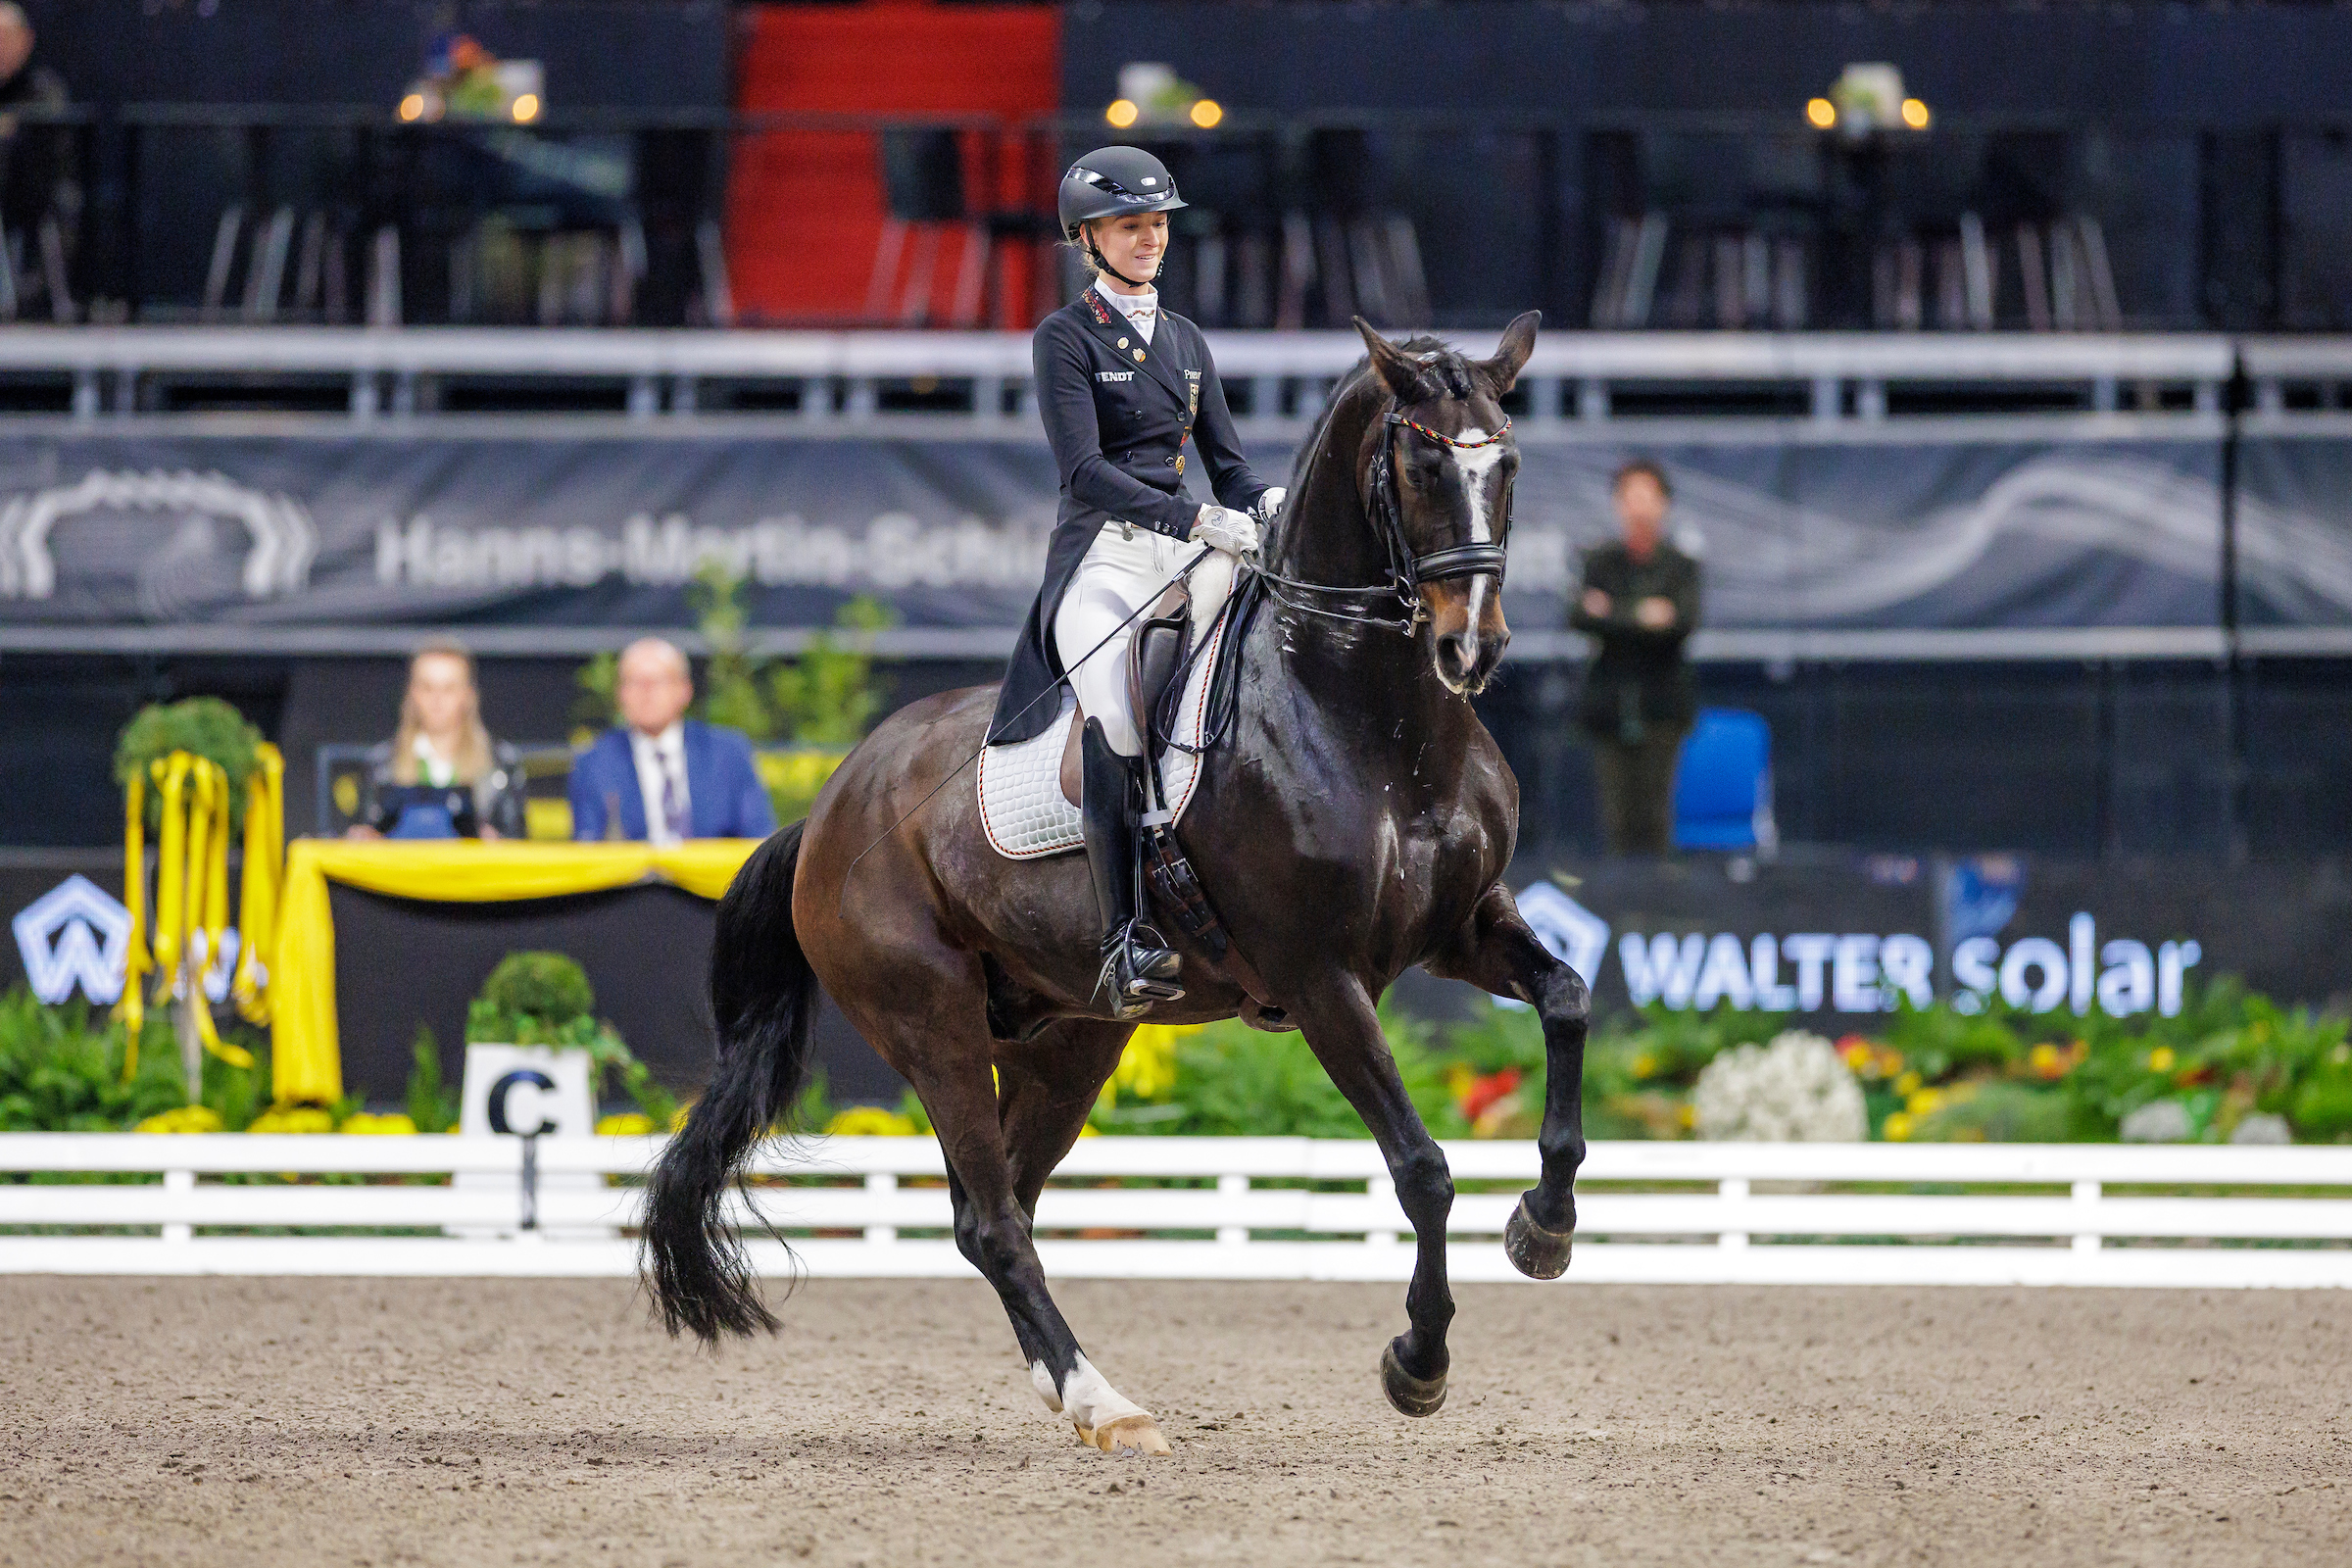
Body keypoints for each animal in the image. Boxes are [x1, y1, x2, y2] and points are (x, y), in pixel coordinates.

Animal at [644, 315, 1599, 1457]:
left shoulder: (1464, 926)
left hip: (1070, 1035)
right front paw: (1418, 1362)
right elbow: (1423, 1168)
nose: (1473, 645)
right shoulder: (1321, 979)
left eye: (1508, 463)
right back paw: (1107, 1401)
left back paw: (1074, 1393)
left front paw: (1544, 1229)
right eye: (1418, 464)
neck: (1373, 720)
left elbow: (1567, 1000)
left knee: (996, 1207)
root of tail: (830, 804)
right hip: (930, 1020)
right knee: (994, 1219)